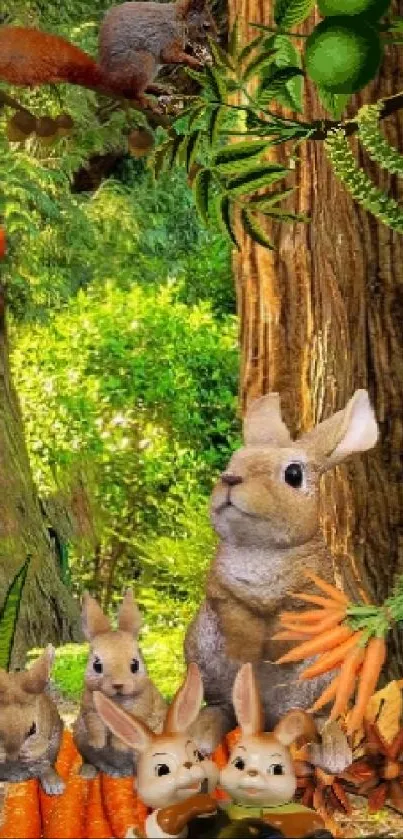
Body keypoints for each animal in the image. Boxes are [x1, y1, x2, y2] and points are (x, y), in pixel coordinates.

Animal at [0, 0, 215, 108]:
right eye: (206, 26)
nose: (218, 36)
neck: (179, 19)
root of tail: (106, 77)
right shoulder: (167, 36)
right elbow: (170, 55)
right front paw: (193, 60)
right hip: (143, 63)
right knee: (129, 90)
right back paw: (143, 98)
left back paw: (157, 87)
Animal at [0, 648, 64, 796]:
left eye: (33, 729)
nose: (12, 758)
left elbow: (41, 744)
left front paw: (27, 753)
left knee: (47, 766)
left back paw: (54, 786)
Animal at [73, 588, 167, 776]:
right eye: (97, 665)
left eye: (135, 664)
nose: (118, 685)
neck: (116, 699)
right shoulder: (90, 710)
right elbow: (95, 726)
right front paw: (99, 744)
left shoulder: (139, 711)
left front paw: (117, 747)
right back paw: (90, 773)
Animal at [93, 668, 219, 836]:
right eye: (162, 769)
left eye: (198, 756)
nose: (189, 765)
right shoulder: (163, 818)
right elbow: (168, 818)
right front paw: (199, 804)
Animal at [185, 390, 380, 752]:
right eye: (232, 462)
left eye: (293, 475)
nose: (230, 479)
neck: (262, 550)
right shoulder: (223, 594)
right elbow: (240, 624)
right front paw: (247, 657)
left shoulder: (307, 597)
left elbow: (288, 627)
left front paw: (277, 656)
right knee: (222, 708)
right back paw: (202, 737)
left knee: (312, 715)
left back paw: (329, 748)